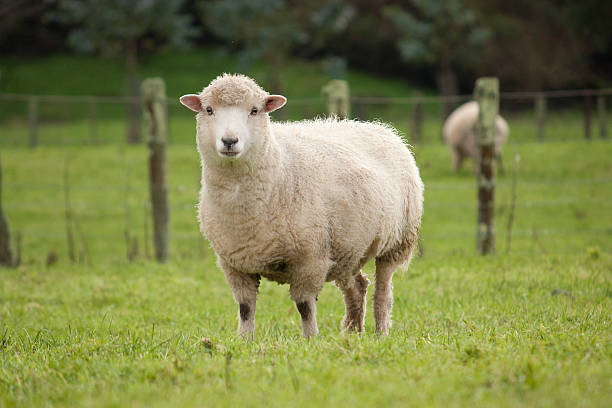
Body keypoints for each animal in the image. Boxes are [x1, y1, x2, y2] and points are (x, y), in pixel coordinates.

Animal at [179, 73, 424, 338]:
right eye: (209, 110)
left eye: (254, 110)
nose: (229, 141)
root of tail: (379, 127)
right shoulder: (234, 264)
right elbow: (245, 308)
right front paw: (244, 340)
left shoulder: (310, 259)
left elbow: (305, 307)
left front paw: (311, 340)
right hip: (347, 248)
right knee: (358, 286)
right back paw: (352, 332)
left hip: (397, 241)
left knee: (383, 292)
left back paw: (380, 333)